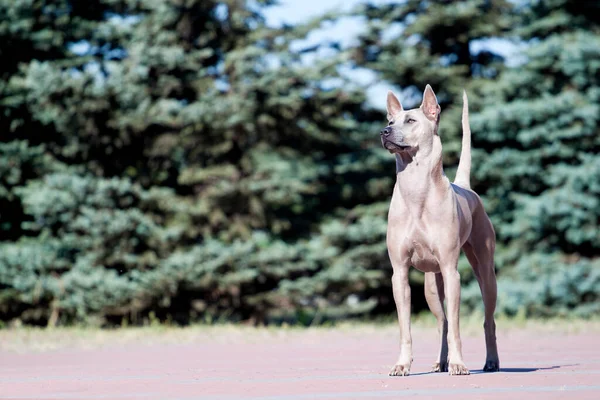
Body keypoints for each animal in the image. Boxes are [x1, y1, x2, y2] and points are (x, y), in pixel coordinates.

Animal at [382, 86, 500, 376]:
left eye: (410, 121)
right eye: (390, 121)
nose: (384, 132)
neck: (416, 190)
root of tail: (464, 186)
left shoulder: (450, 271)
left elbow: (457, 326)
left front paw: (459, 364)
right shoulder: (399, 274)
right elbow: (406, 327)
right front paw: (402, 364)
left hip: (486, 273)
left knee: (487, 319)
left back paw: (491, 362)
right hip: (430, 287)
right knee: (442, 322)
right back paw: (441, 362)